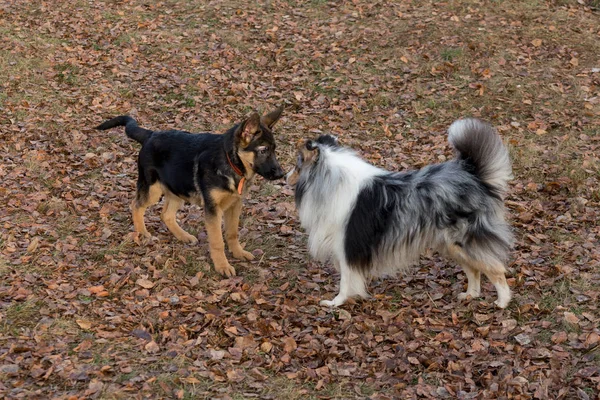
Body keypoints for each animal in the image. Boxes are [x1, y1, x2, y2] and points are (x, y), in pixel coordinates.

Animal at [96, 108, 286, 276]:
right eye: (263, 150)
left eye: (274, 149)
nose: (281, 174)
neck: (230, 161)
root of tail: (151, 135)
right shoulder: (213, 210)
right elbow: (217, 241)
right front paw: (222, 266)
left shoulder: (235, 205)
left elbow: (232, 233)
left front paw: (238, 253)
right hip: (153, 189)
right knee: (136, 205)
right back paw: (142, 233)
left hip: (177, 190)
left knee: (166, 214)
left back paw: (183, 236)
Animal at [288, 119, 512, 310]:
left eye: (298, 163)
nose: (284, 175)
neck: (329, 180)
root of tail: (473, 174)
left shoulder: (346, 246)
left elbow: (345, 281)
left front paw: (336, 302)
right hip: (452, 244)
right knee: (474, 269)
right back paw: (470, 295)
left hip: (465, 240)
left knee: (496, 269)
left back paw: (502, 302)